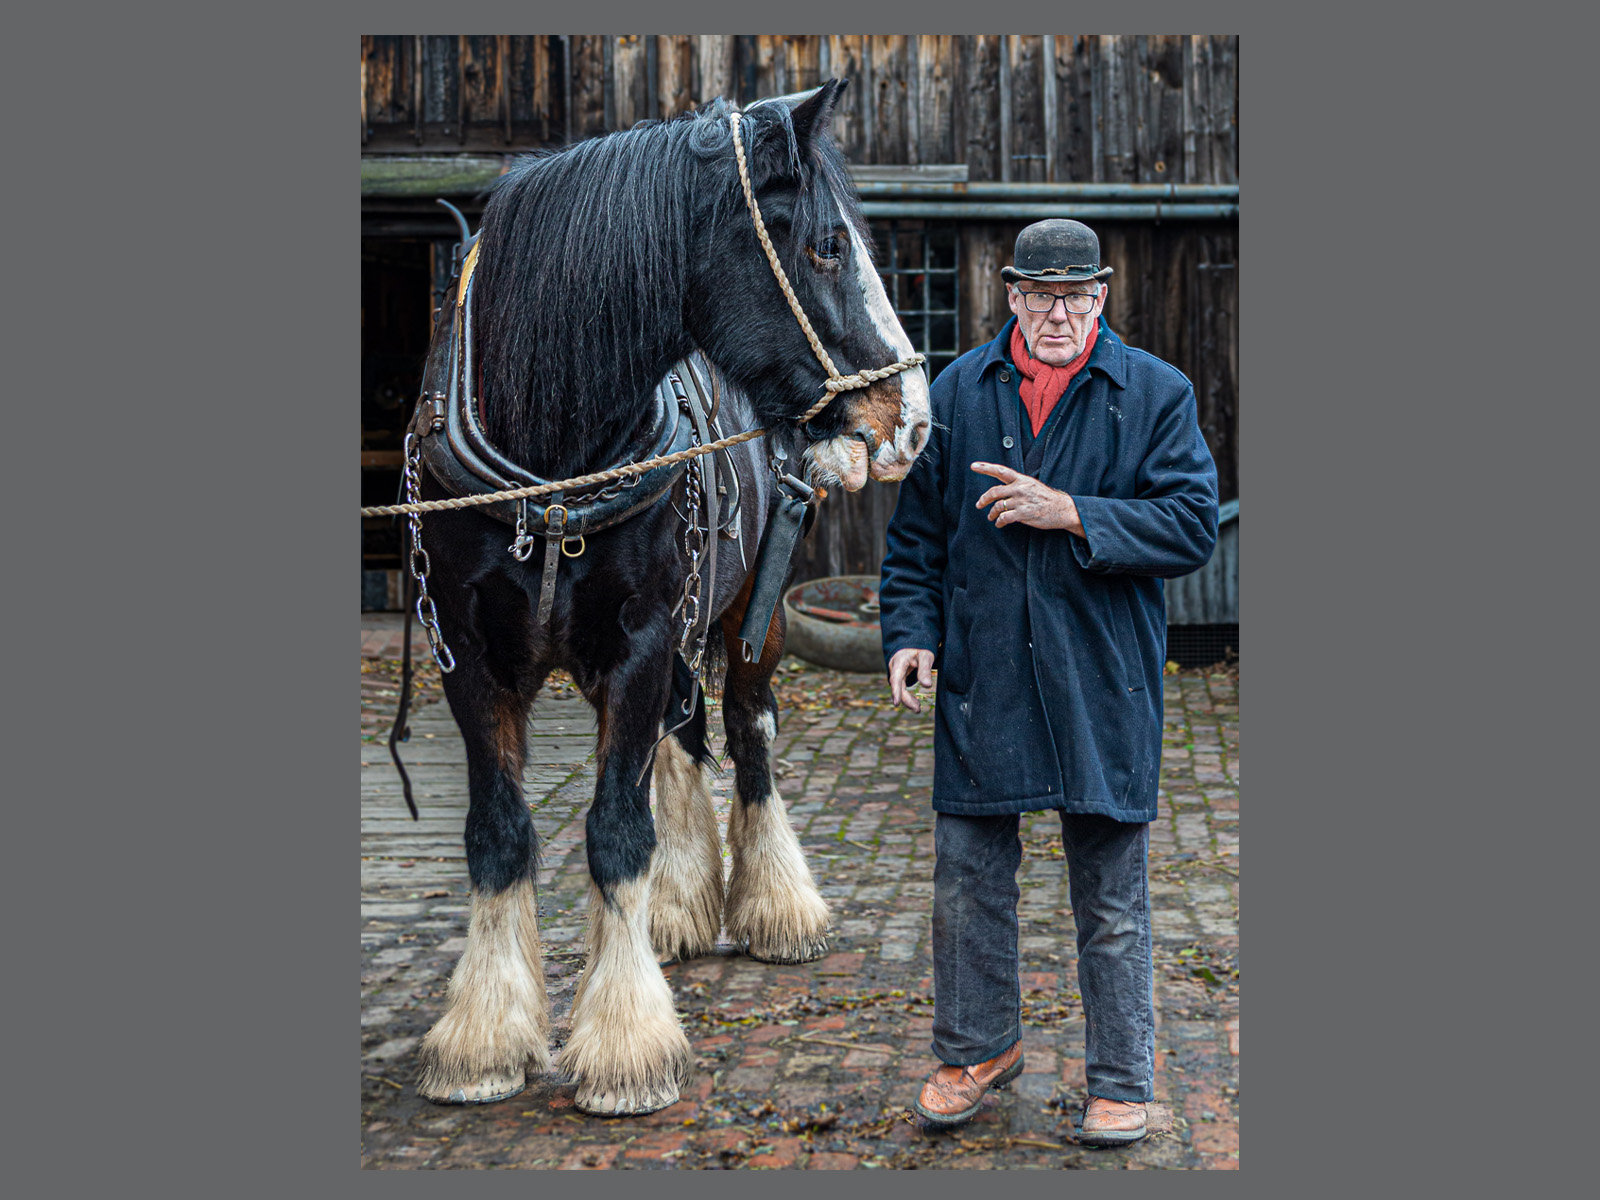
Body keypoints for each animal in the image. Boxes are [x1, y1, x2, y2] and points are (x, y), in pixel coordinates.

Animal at [404, 81, 932, 1116]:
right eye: (827, 246)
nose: (913, 419)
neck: (550, 466)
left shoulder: (642, 640)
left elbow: (615, 832)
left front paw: (623, 1046)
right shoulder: (470, 657)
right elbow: (500, 832)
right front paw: (485, 1035)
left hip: (751, 615)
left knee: (747, 732)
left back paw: (775, 906)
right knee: (682, 741)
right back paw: (683, 908)